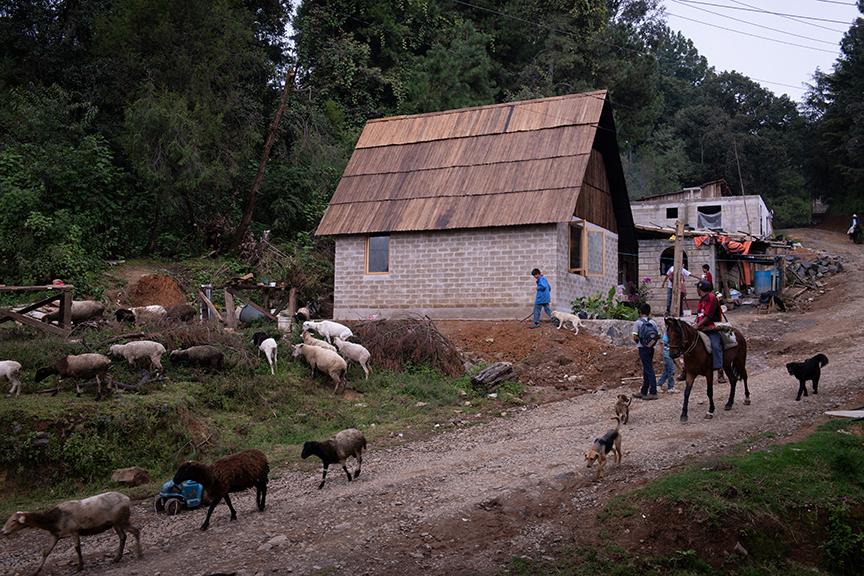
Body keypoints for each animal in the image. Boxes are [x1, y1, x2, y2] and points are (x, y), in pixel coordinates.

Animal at [1, 490, 140, 576]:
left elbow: (77, 548)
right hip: (115, 523)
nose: (3, 531)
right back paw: (117, 558)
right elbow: (46, 552)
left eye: (13, 521)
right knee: (123, 536)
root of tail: (127, 499)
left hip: (121, 520)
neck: (54, 521)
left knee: (136, 531)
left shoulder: (74, 531)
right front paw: (35, 571)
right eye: (8, 519)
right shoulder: (55, 535)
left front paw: (80, 567)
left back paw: (140, 554)